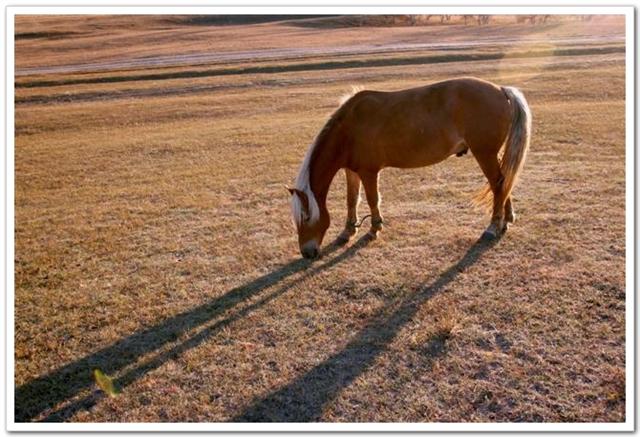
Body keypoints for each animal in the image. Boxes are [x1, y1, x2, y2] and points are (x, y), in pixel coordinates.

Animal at [288, 76, 532, 258]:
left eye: (306, 217)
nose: (307, 253)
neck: (350, 128)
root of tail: (501, 90)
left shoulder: (369, 172)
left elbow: (372, 199)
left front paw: (374, 228)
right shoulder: (352, 171)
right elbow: (352, 199)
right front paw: (347, 231)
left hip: (484, 153)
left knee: (497, 184)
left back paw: (493, 226)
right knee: (504, 181)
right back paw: (506, 219)